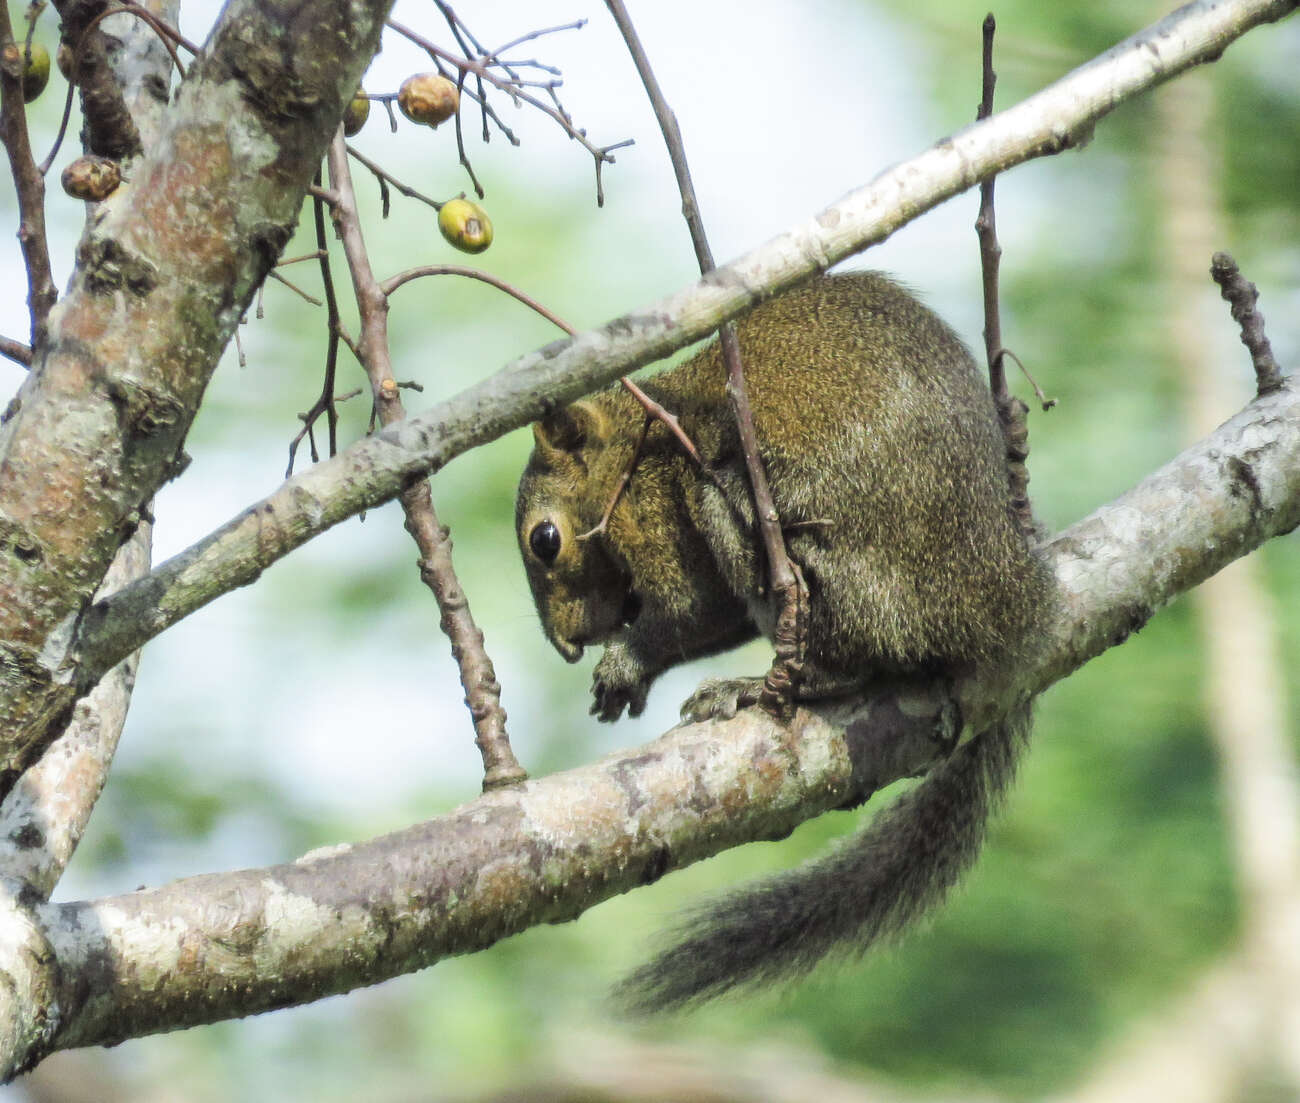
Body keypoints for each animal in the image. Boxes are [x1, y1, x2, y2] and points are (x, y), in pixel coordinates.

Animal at [512, 271, 1050, 1014]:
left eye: (546, 539)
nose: (568, 643)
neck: (638, 445)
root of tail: (1008, 602)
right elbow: (716, 619)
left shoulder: (661, 509)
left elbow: (688, 608)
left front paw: (626, 664)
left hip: (771, 522)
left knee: (854, 656)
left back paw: (776, 685)